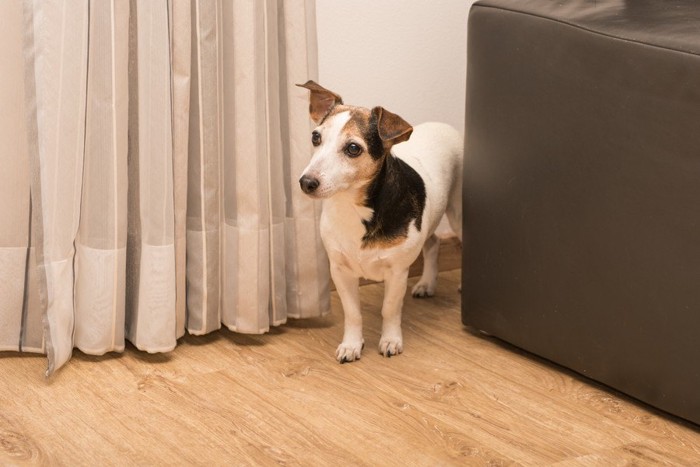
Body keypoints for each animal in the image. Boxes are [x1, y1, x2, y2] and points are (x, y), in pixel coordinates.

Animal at [296, 82, 464, 364]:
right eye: (315, 138)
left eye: (353, 148)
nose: (306, 182)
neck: (353, 208)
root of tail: (446, 127)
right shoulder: (340, 271)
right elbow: (352, 313)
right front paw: (351, 345)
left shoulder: (397, 272)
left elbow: (390, 309)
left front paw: (390, 340)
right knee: (433, 242)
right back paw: (427, 283)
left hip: (458, 214)